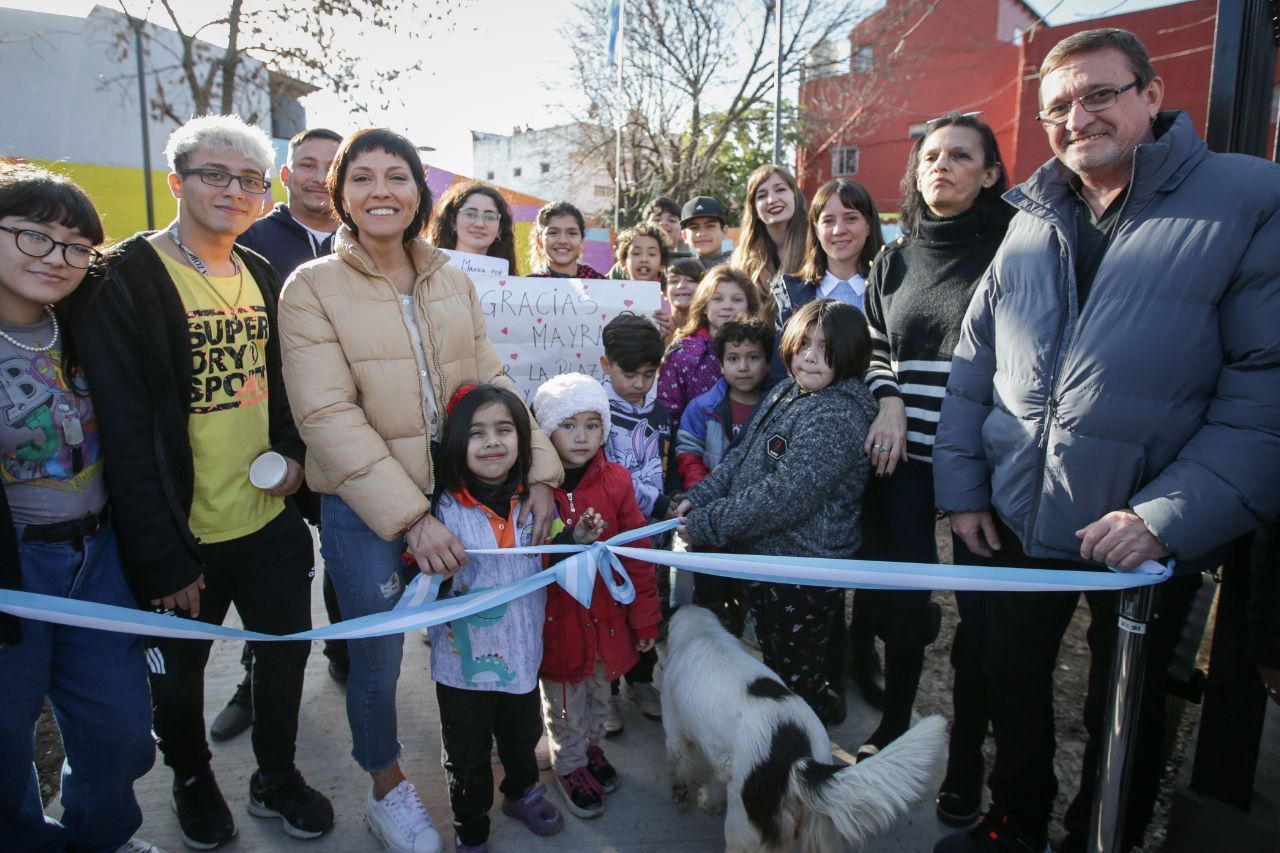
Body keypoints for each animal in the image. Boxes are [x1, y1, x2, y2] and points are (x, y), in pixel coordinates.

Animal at [665, 604, 947, 850]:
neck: (702, 632)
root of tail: (798, 760)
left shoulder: (675, 727)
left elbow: (680, 764)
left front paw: (683, 797)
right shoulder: (725, 759)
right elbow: (716, 780)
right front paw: (710, 803)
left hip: (742, 826)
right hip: (818, 829)